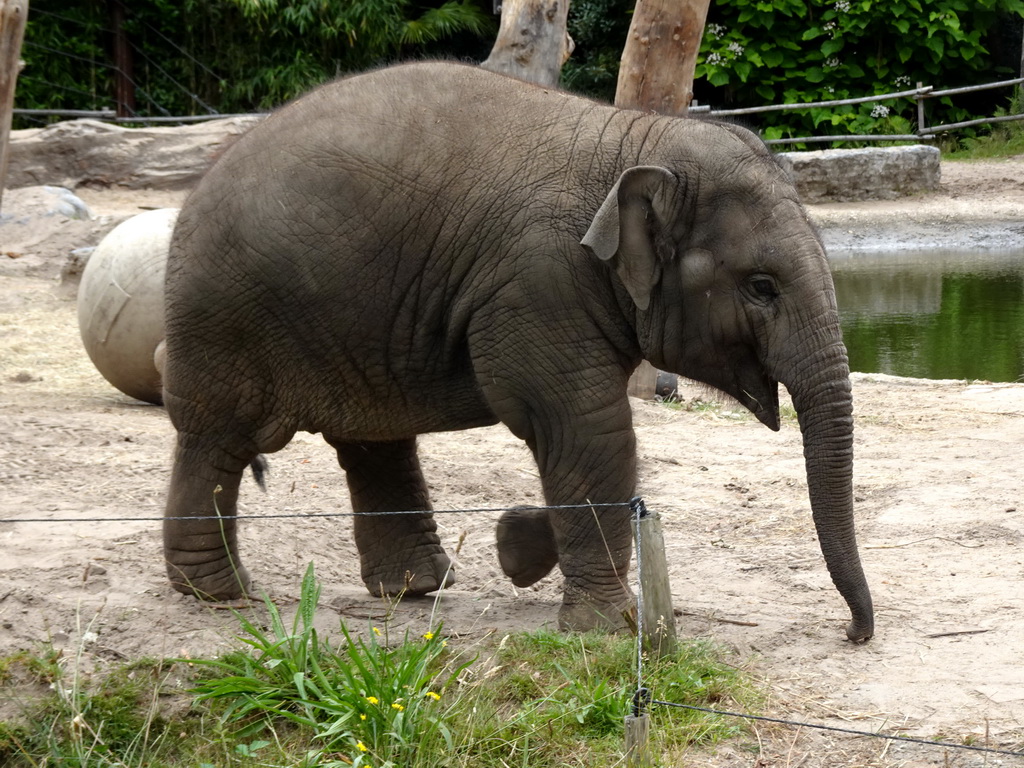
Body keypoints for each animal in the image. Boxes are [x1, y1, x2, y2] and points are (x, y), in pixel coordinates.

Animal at [163, 60, 876, 643]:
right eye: (762, 287)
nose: (853, 633)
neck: (634, 141)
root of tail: (194, 189)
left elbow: (579, 438)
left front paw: (515, 545)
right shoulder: (539, 283)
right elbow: (586, 427)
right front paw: (606, 630)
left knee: (372, 441)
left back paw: (414, 589)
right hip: (225, 319)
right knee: (219, 439)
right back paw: (219, 594)